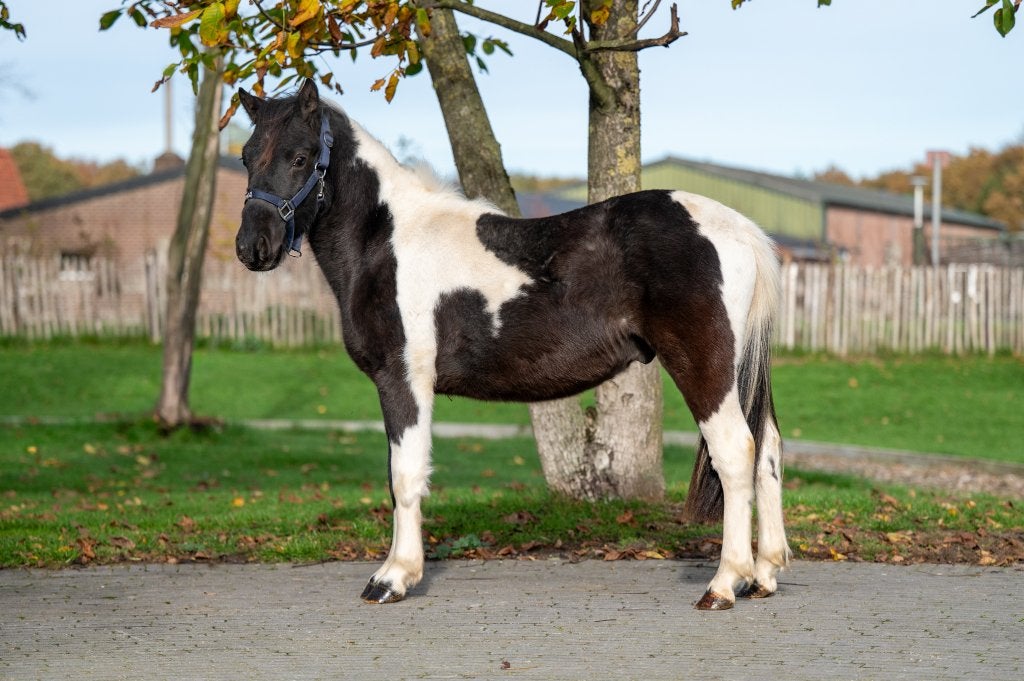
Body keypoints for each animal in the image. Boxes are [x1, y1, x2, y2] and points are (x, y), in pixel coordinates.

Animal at [234, 79, 790, 611]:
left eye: (300, 157)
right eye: (246, 155)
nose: (252, 247)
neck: (385, 243)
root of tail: (740, 230)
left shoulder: (402, 378)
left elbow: (404, 475)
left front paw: (392, 578)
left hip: (704, 367)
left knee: (735, 453)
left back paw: (724, 585)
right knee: (767, 451)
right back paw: (763, 577)